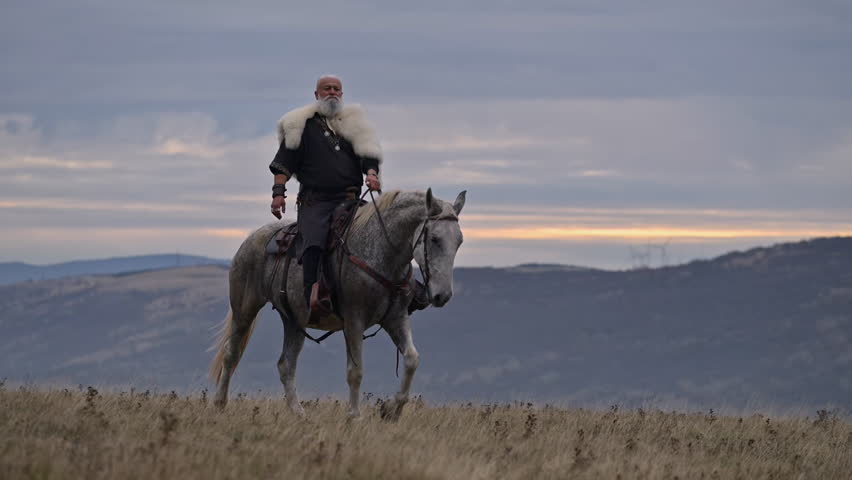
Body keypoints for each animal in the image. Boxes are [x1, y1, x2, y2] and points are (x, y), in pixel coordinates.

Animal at [209, 188, 466, 420]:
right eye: (434, 239)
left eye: (459, 242)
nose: (442, 295)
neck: (380, 252)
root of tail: (251, 238)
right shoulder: (354, 321)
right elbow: (355, 371)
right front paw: (354, 416)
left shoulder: (395, 318)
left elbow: (412, 359)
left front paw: (391, 410)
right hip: (245, 308)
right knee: (231, 354)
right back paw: (220, 404)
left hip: (293, 320)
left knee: (286, 365)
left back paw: (298, 413)